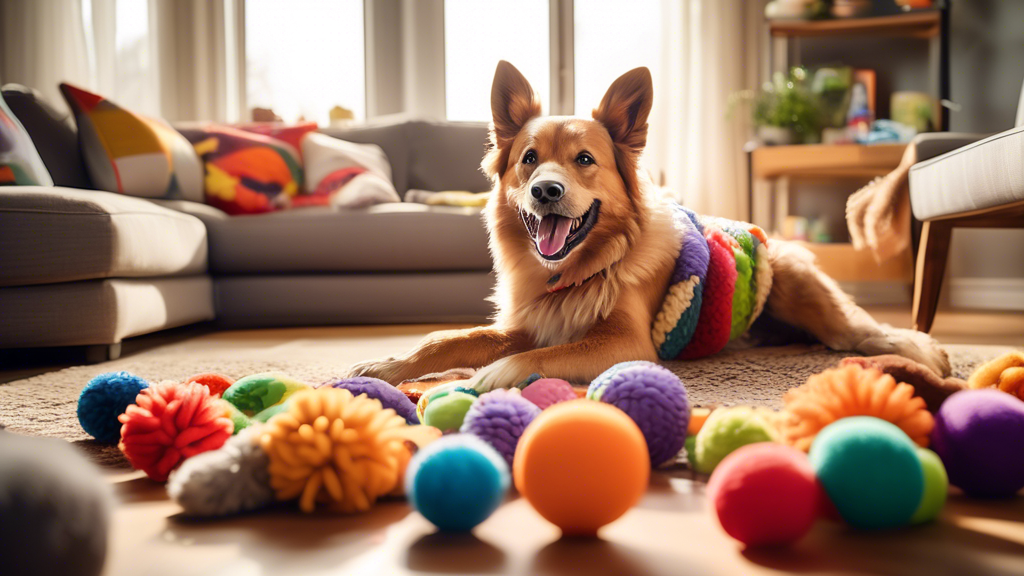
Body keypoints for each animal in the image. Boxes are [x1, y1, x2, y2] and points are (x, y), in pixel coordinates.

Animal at [348, 62, 946, 391]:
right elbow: (453, 339)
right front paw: (389, 365)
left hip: (812, 302)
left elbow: (541, 357)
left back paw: (923, 350)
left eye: (584, 160)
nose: (546, 191)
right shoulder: (537, 319)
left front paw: (497, 374)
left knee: (864, 330)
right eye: (529, 159)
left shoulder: (626, 343)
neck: (580, 270)